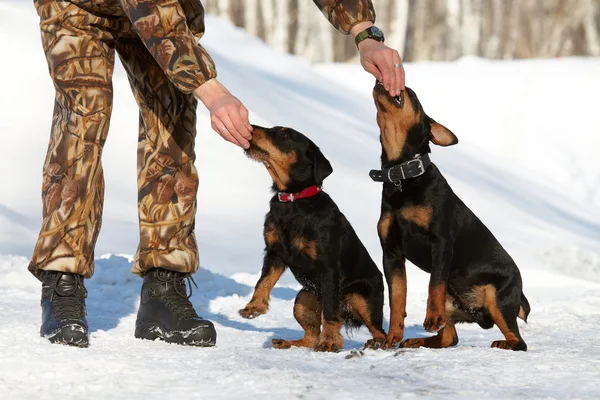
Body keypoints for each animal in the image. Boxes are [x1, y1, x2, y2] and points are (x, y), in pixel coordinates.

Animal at [238, 126, 384, 354]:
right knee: (311, 336)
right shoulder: (275, 252)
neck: (293, 200)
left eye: (284, 134)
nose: (250, 128)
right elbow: (263, 280)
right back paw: (286, 342)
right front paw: (253, 307)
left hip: (361, 297)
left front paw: (330, 342)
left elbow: (330, 312)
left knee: (380, 330)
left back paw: (376, 343)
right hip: (303, 298)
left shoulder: (328, 267)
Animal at [370, 83, 528, 350]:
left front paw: (431, 318)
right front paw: (392, 337)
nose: (385, 82)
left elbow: (433, 285)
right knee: (448, 338)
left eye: (411, 94)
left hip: (498, 298)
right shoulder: (391, 252)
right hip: (456, 301)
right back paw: (415, 341)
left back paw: (503, 343)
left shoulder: (441, 242)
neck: (402, 175)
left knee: (518, 340)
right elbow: (397, 299)